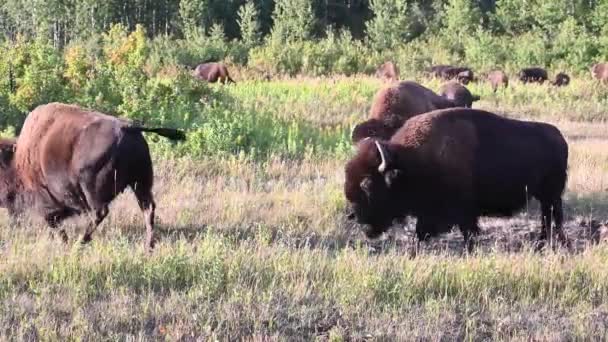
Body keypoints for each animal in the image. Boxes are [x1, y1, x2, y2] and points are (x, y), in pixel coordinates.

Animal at [0, 101, 186, 248]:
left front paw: (65, 242)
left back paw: (81, 242)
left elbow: (54, 222)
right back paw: (149, 246)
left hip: (92, 188)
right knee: (148, 208)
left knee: (100, 212)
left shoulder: (48, 203)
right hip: (140, 184)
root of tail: (128, 127)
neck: (17, 161)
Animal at [344, 107, 572, 251]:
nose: (354, 217)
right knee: (547, 216)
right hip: (544, 195)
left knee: (555, 216)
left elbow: (465, 232)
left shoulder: (460, 211)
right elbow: (423, 233)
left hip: (552, 193)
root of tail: (560, 137)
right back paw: (543, 242)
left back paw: (556, 242)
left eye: (368, 184)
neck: (411, 159)